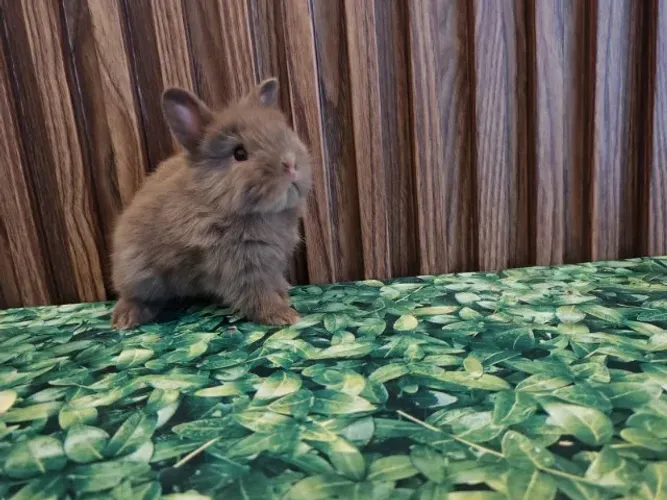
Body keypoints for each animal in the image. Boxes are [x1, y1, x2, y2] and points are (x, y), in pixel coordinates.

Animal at [110, 78, 311, 329]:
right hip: (137, 272)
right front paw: (283, 315)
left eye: (283, 134)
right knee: (131, 295)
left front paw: (284, 294)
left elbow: (273, 282)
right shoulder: (238, 265)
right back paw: (126, 318)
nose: (290, 163)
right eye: (239, 153)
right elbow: (257, 294)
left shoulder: (271, 262)